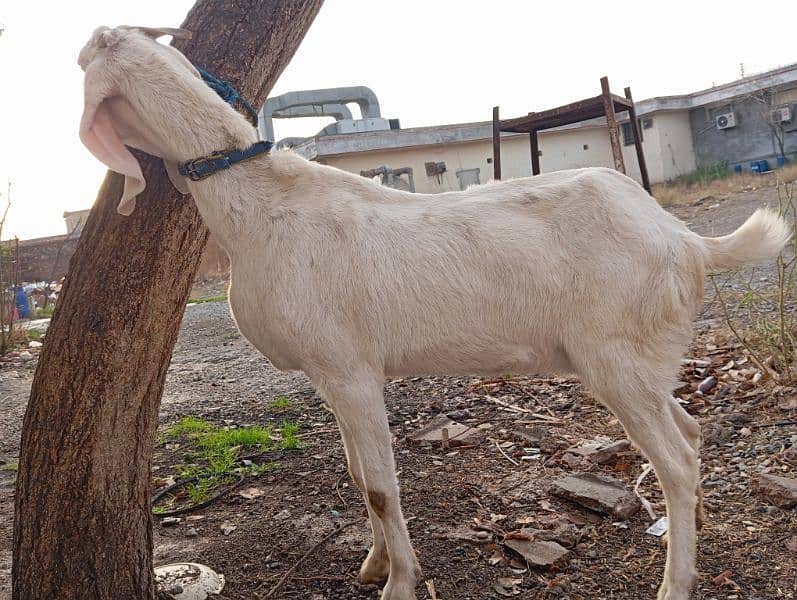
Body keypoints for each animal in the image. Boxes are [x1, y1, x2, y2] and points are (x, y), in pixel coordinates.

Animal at [77, 25, 788, 596]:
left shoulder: (349, 370)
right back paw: (694, 522)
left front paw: (399, 584)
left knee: (676, 459)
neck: (260, 203)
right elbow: (358, 472)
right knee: (689, 432)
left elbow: (379, 484)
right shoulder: (333, 373)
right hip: (646, 356)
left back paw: (677, 580)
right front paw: (372, 565)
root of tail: (687, 240)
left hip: (614, 356)